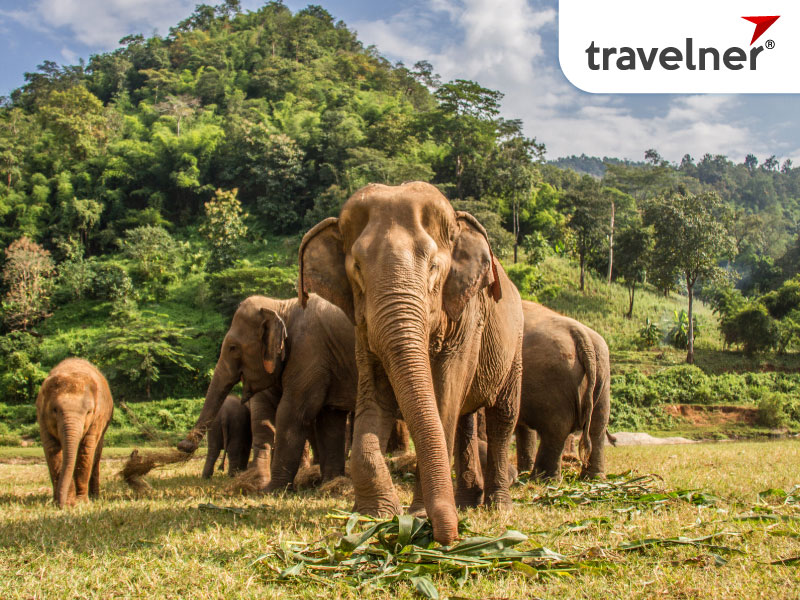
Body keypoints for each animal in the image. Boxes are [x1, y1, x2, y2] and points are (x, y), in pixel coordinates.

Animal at [36, 358, 114, 507]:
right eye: (55, 410)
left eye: (89, 412)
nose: (61, 505)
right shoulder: (42, 417)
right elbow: (52, 450)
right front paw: (67, 502)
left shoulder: (98, 418)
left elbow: (86, 450)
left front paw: (81, 502)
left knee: (96, 453)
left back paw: (95, 497)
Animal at [177, 294, 357, 491]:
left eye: (233, 347)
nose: (183, 445)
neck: (281, 305)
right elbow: (328, 419)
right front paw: (329, 484)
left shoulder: (309, 354)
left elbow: (291, 414)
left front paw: (271, 490)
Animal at [300, 181, 523, 545]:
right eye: (357, 268)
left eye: (433, 266)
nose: (449, 537)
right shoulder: (363, 328)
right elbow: (375, 397)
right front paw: (374, 516)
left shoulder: (467, 317)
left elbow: (444, 398)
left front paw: (417, 515)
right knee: (465, 419)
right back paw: (466, 502)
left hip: (515, 344)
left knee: (502, 417)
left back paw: (498, 506)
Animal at [514, 300, 611, 480]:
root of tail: (582, 337)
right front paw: (522, 472)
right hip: (603, 375)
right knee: (598, 425)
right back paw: (592, 478)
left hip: (552, 379)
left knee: (556, 428)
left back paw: (542, 479)